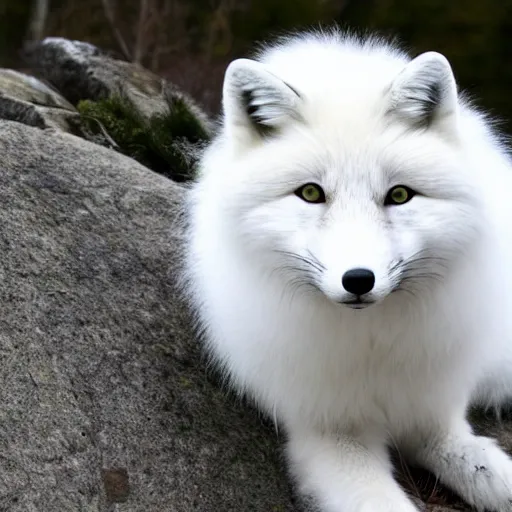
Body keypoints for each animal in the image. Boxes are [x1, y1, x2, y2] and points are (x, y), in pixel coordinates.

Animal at [183, 30, 512, 510]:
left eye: (399, 195)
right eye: (310, 193)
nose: (358, 280)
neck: (371, 343)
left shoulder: (431, 401)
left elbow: (473, 457)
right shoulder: (328, 428)